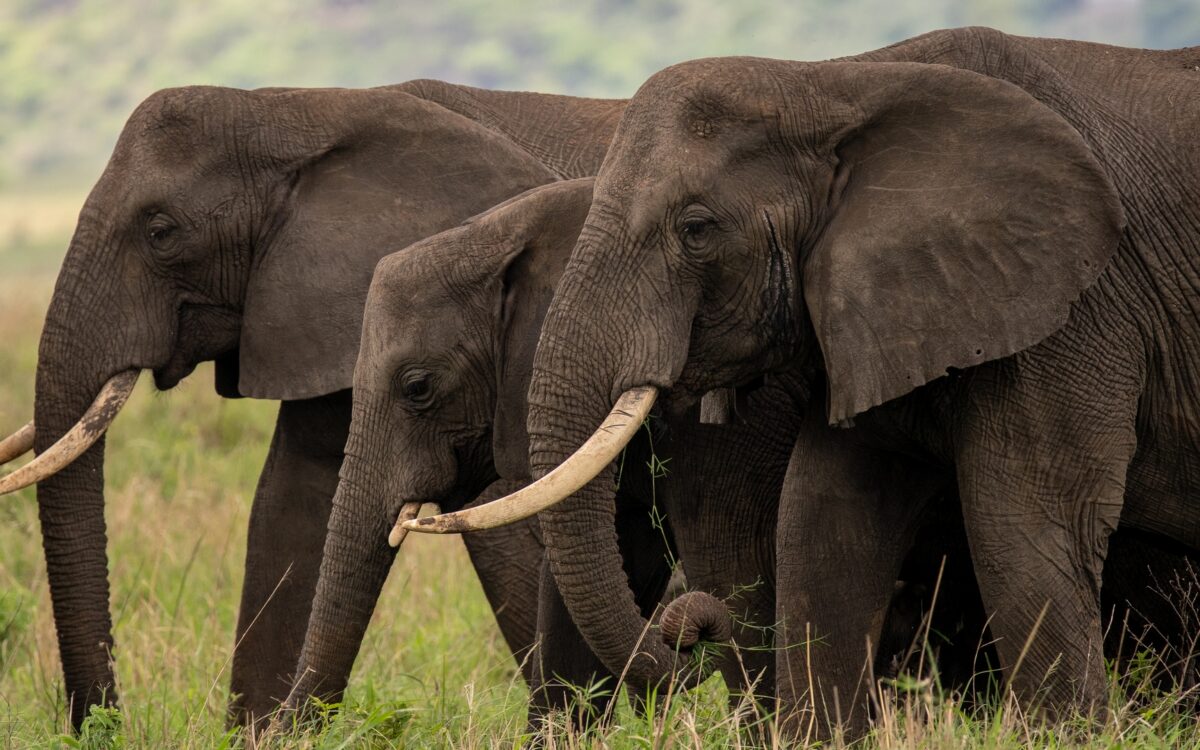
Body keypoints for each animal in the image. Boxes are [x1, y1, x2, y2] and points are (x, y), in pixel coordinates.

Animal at [408, 27, 1200, 739]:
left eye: (697, 229)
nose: (691, 627)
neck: (835, 82)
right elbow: (823, 523)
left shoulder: (1076, 308)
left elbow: (1030, 524)